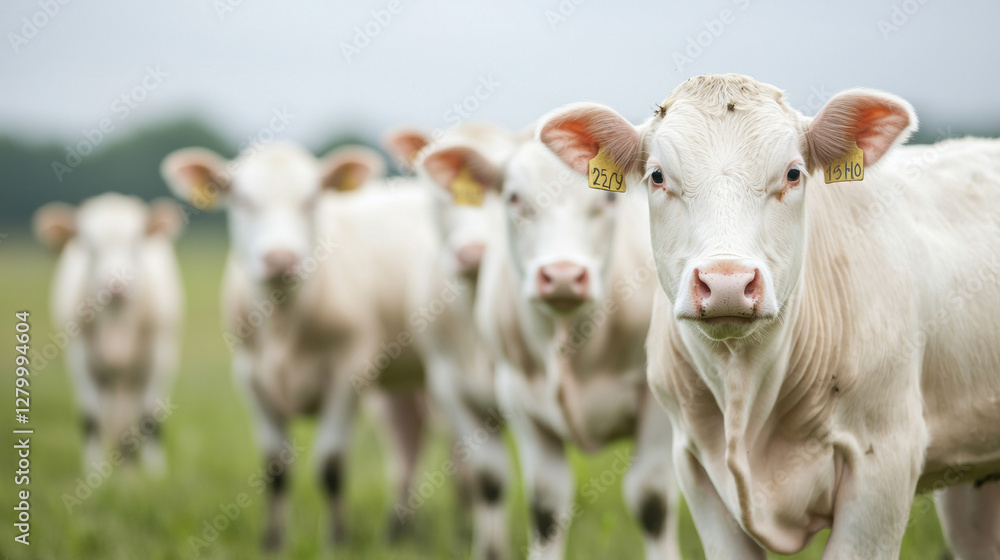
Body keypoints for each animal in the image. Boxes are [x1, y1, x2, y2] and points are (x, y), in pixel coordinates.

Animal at [33, 193, 185, 474]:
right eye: (89, 246)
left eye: (136, 243)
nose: (116, 285)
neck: (117, 324)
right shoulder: (79, 356)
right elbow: (90, 416)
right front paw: (94, 470)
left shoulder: (160, 355)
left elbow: (149, 416)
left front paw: (155, 473)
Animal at [161, 142, 438, 550]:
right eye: (241, 199)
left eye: (311, 199)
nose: (280, 258)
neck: (283, 326)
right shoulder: (250, 377)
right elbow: (275, 469)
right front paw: (272, 542)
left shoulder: (348, 373)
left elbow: (331, 464)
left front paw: (337, 541)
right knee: (408, 443)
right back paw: (398, 532)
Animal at [422, 132, 682, 560]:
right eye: (513, 198)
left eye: (607, 199)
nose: (562, 275)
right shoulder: (515, 395)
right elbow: (542, 505)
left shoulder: (658, 398)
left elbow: (652, 501)